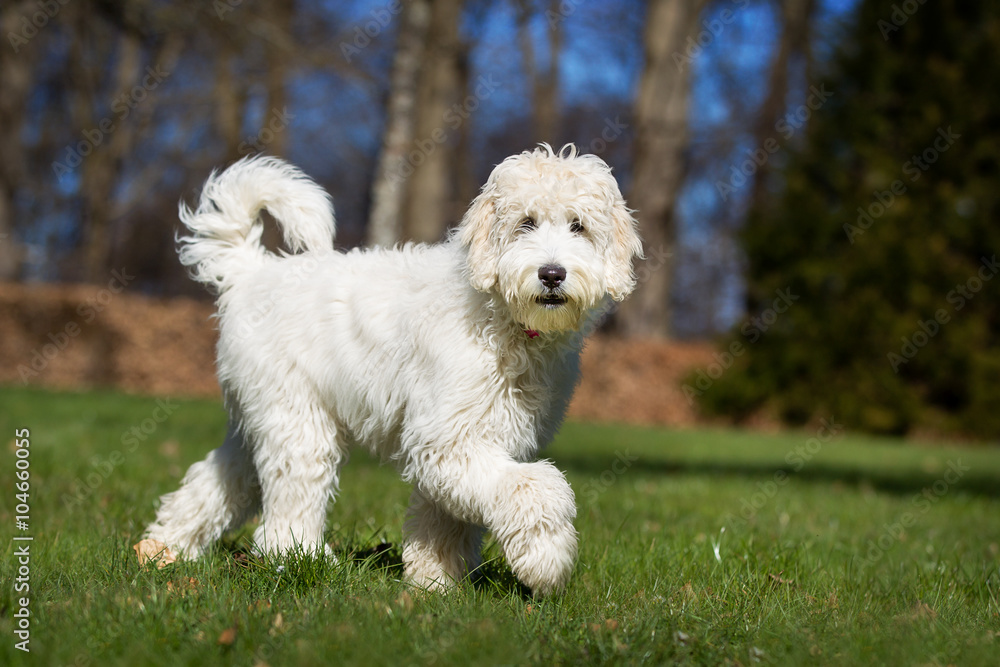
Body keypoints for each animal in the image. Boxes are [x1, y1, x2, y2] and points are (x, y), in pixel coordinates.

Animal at [145, 145, 644, 596]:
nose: (552, 274)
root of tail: (253, 273)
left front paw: (434, 583)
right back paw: (301, 558)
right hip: (300, 425)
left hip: (259, 421)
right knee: (288, 508)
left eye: (579, 226)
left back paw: (164, 548)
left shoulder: (477, 439)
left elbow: (444, 519)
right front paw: (547, 561)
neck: (501, 320)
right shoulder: (447, 439)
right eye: (526, 223)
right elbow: (533, 486)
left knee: (217, 481)